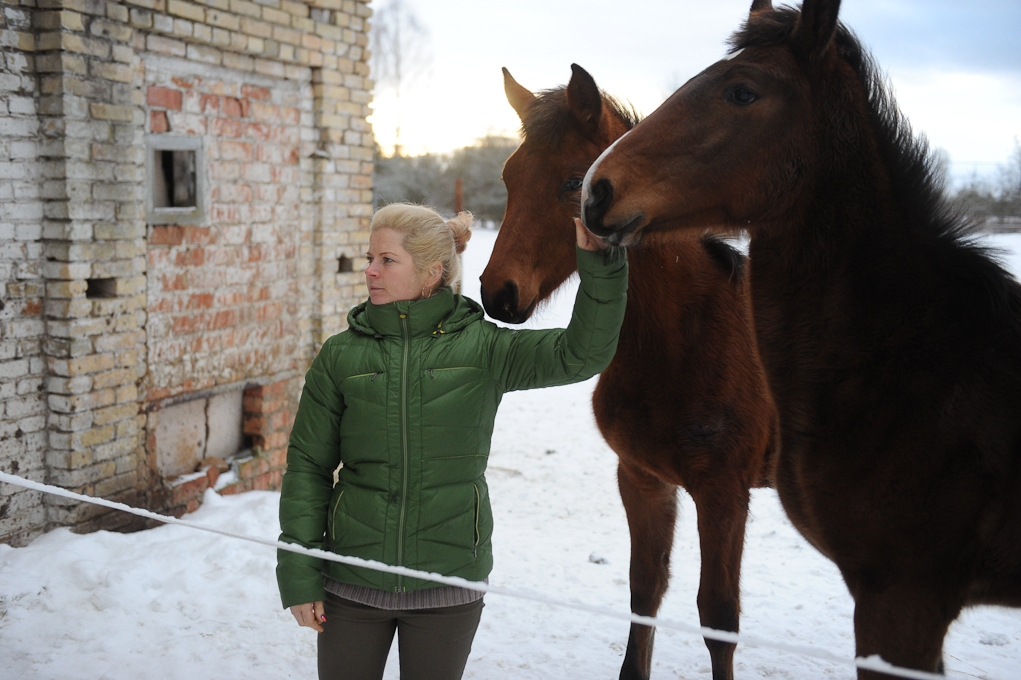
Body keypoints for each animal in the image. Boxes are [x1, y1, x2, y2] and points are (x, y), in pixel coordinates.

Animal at [481, 63, 775, 677]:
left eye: (574, 183)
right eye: (509, 176)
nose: (498, 293)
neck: (684, 337)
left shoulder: (724, 495)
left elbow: (719, 618)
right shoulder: (642, 478)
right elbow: (646, 592)